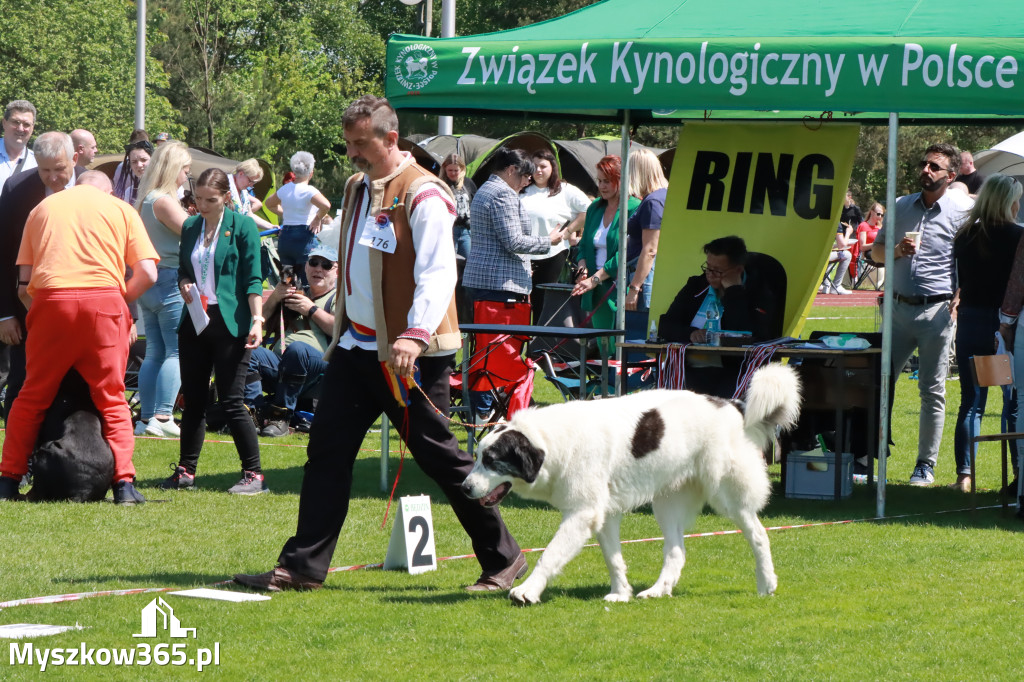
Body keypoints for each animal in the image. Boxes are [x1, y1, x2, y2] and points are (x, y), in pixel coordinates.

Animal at [460, 364, 802, 602]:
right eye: (476, 457)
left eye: (491, 461)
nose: (463, 488)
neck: (552, 442)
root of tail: (731, 405)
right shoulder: (605, 513)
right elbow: (613, 558)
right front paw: (620, 592)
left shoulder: (582, 513)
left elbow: (550, 553)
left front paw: (528, 591)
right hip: (667, 503)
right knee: (676, 551)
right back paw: (658, 590)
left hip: (728, 495)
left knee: (758, 535)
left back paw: (766, 583)